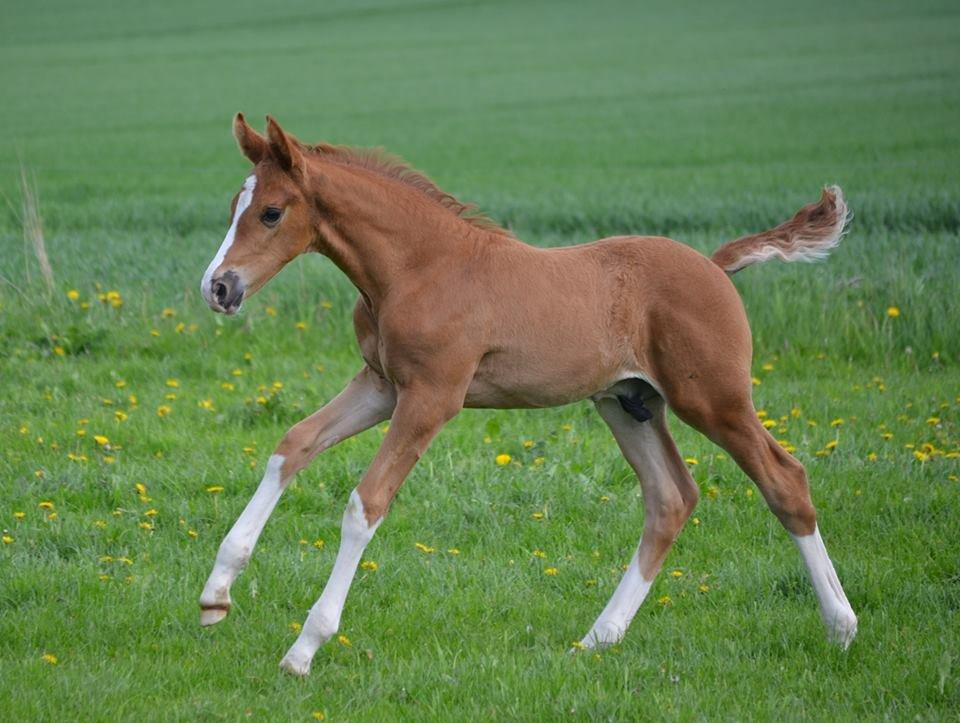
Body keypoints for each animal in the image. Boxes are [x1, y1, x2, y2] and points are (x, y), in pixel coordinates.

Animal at [199, 113, 860, 672]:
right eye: (234, 206)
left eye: (271, 213)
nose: (218, 288)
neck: (419, 268)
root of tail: (714, 266)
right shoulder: (381, 386)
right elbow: (292, 445)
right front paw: (215, 595)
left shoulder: (432, 397)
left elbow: (366, 503)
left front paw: (305, 648)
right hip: (628, 404)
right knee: (671, 499)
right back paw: (598, 638)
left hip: (715, 401)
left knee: (785, 480)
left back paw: (841, 626)